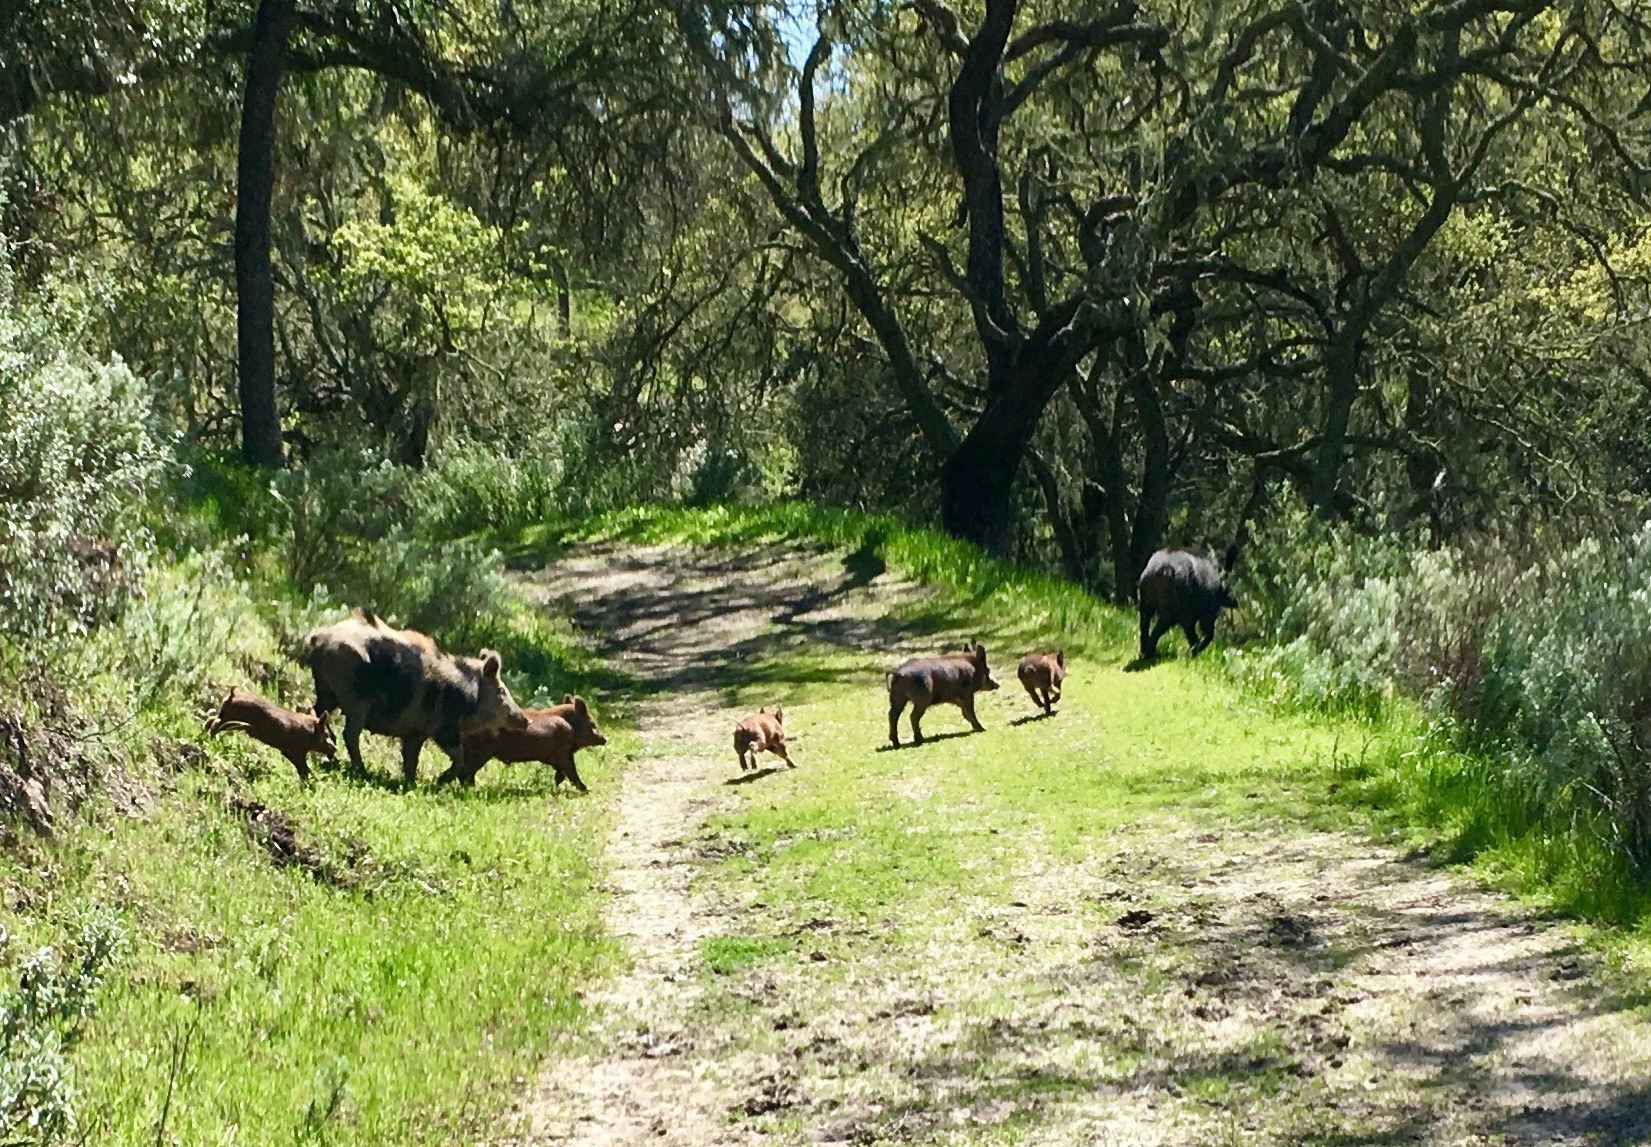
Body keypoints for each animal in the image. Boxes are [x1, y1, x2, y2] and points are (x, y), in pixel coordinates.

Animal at [205, 686, 336, 780]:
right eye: (326, 734)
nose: (334, 748)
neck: (308, 734)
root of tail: (232, 695)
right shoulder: (296, 751)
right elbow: (304, 769)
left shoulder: (287, 752)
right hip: (231, 720)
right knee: (214, 724)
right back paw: (210, 739)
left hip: (226, 717)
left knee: (210, 719)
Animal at [305, 609, 528, 786]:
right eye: (502, 691)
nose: (526, 720)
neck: (465, 694)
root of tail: (320, 639)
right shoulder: (444, 728)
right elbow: (459, 757)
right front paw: (438, 781)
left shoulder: (416, 732)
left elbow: (411, 757)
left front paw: (412, 783)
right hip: (354, 697)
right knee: (350, 733)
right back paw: (361, 770)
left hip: (325, 690)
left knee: (316, 713)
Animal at [445, 694, 606, 792]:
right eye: (592, 724)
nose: (605, 739)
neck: (570, 726)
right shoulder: (564, 755)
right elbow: (572, 772)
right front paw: (586, 790)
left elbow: (560, 775)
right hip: (479, 753)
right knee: (464, 773)